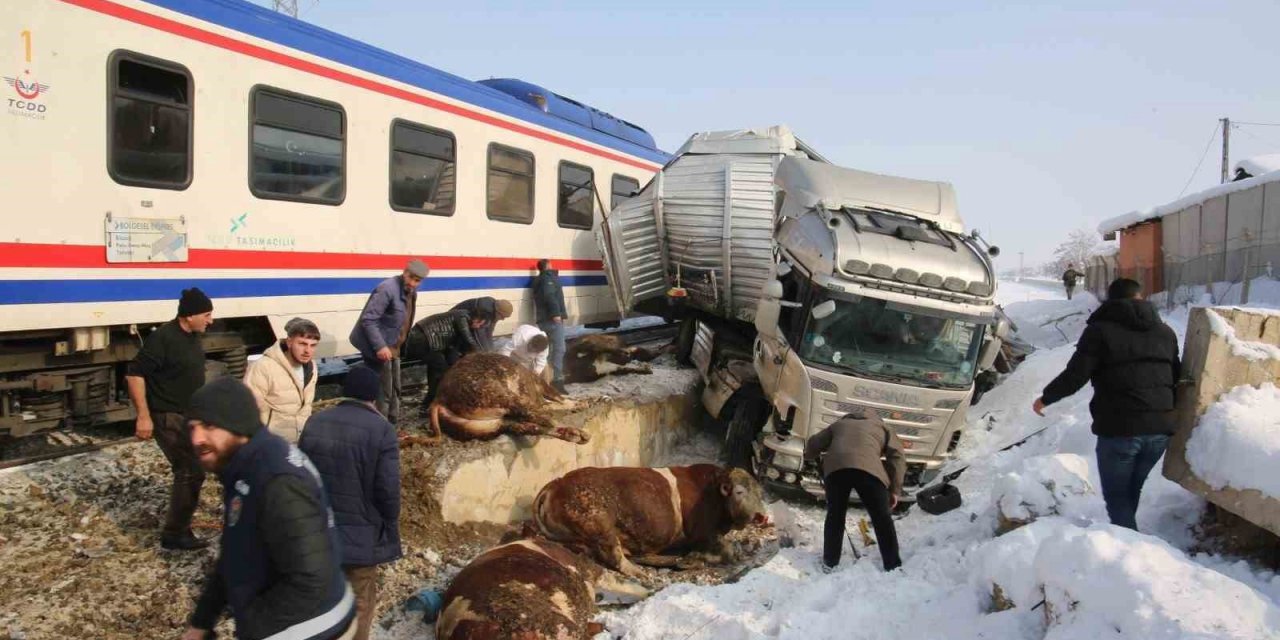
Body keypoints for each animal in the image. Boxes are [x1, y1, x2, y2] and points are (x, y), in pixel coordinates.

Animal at [430, 350, 588, 445]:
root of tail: (440, 398)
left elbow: (554, 403)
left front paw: (580, 403)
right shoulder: (541, 384)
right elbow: (559, 398)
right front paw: (581, 403)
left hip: (485, 426)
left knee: (528, 426)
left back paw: (573, 434)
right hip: (497, 396)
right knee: (541, 418)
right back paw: (578, 432)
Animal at [529, 463, 768, 578]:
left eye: (761, 493)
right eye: (739, 492)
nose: (762, 516)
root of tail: (557, 483)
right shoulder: (702, 532)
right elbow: (729, 551)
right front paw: (697, 558)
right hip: (600, 524)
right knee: (615, 557)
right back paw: (643, 573)